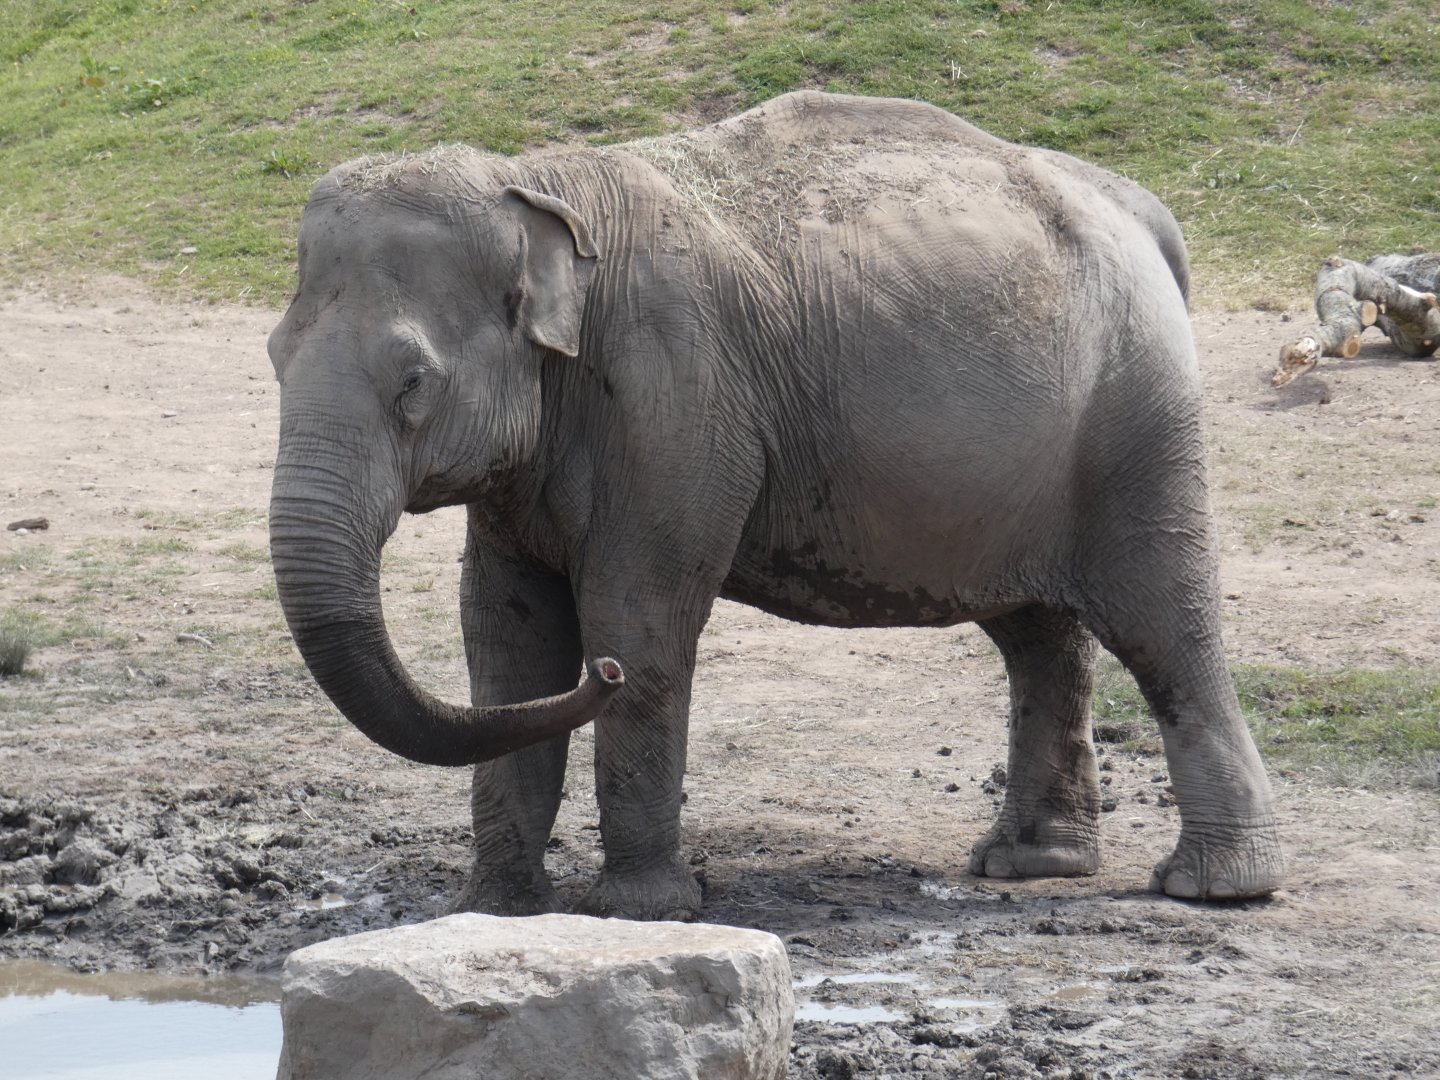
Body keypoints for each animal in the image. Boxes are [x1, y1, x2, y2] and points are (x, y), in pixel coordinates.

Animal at [267, 91, 1284, 921]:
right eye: (276, 357)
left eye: (412, 385)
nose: (596, 678)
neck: (536, 184)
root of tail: (1142, 211)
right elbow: (507, 638)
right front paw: (497, 908)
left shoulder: (676, 402)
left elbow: (642, 618)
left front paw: (643, 910)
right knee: (1040, 637)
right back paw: (1030, 864)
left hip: (1137, 416)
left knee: (1165, 625)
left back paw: (1214, 887)